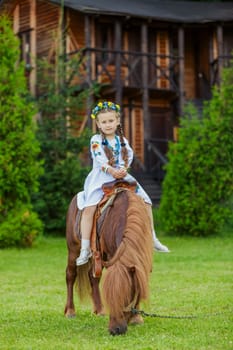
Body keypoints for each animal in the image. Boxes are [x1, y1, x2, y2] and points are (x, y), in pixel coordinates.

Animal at [64, 182, 154, 334]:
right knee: (71, 275)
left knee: (93, 277)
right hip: (73, 249)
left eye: (126, 296)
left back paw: (99, 310)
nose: (115, 330)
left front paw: (136, 317)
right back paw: (70, 311)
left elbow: (140, 283)